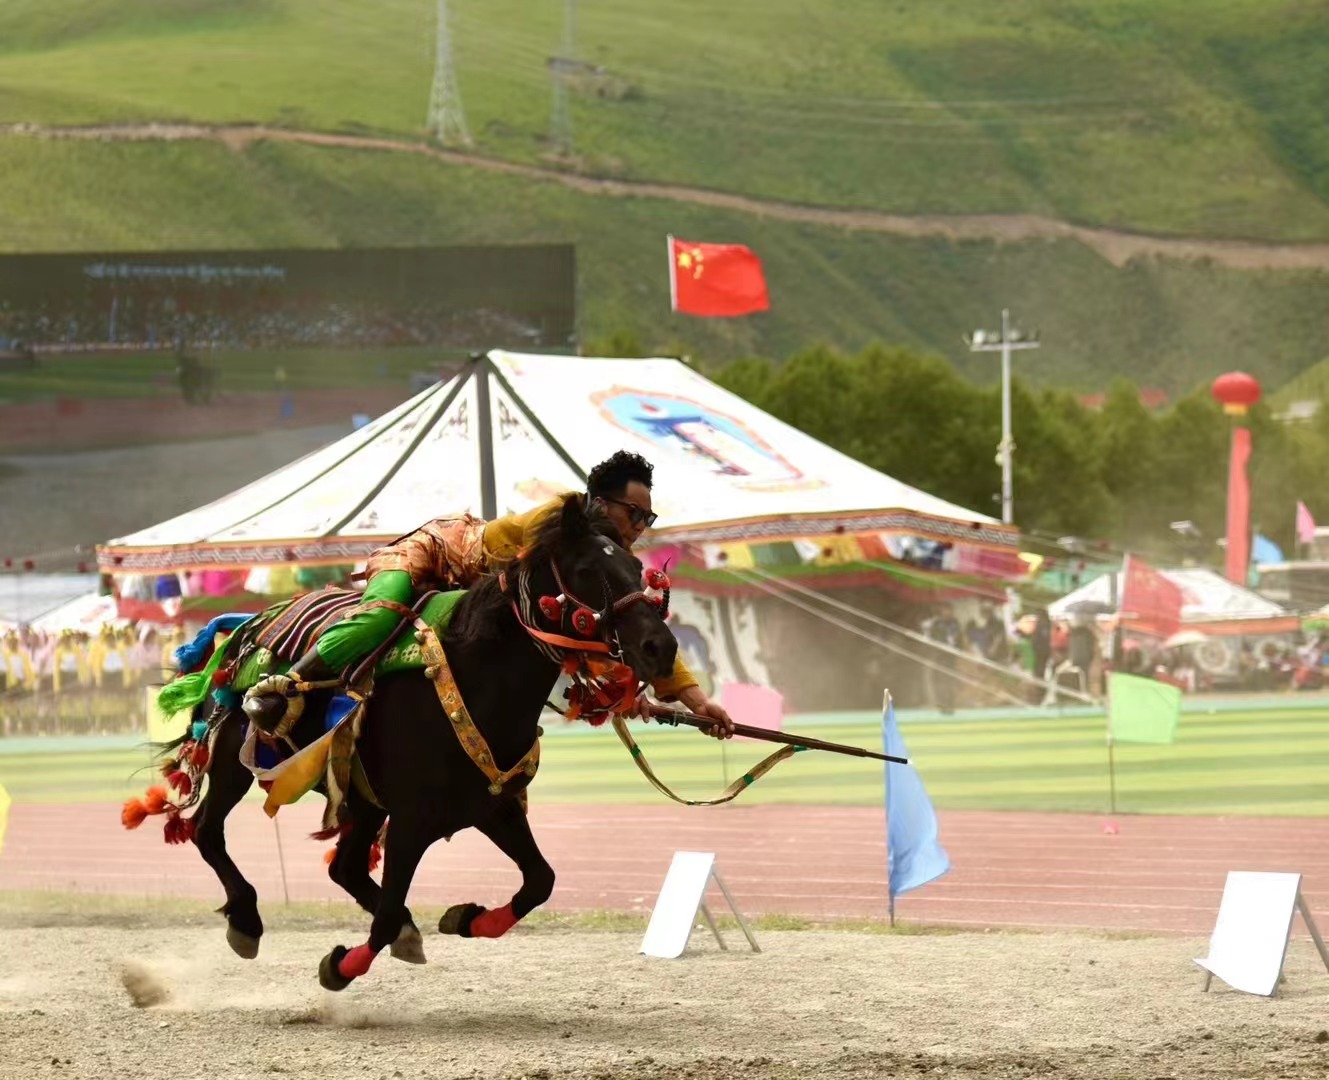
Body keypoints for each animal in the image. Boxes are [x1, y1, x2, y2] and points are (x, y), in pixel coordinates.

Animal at [187, 494, 680, 988]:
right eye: (585, 568)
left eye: (638, 567)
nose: (660, 647)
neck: (477, 680)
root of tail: (246, 625)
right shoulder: (411, 820)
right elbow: (385, 918)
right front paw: (340, 966)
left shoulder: (489, 804)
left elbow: (541, 880)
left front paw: (469, 918)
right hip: (233, 759)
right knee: (206, 830)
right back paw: (246, 919)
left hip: (362, 798)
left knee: (345, 867)